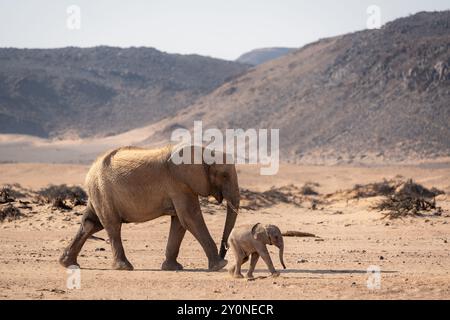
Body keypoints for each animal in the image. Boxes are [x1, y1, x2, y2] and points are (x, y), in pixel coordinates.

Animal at [61, 144, 241, 272]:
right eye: (224, 175)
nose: (224, 251)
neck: (204, 151)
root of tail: (91, 169)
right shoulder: (179, 183)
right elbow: (190, 218)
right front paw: (220, 265)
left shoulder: (180, 187)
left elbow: (179, 222)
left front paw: (172, 268)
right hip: (103, 190)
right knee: (112, 225)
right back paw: (124, 267)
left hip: (99, 192)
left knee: (91, 223)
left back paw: (67, 263)